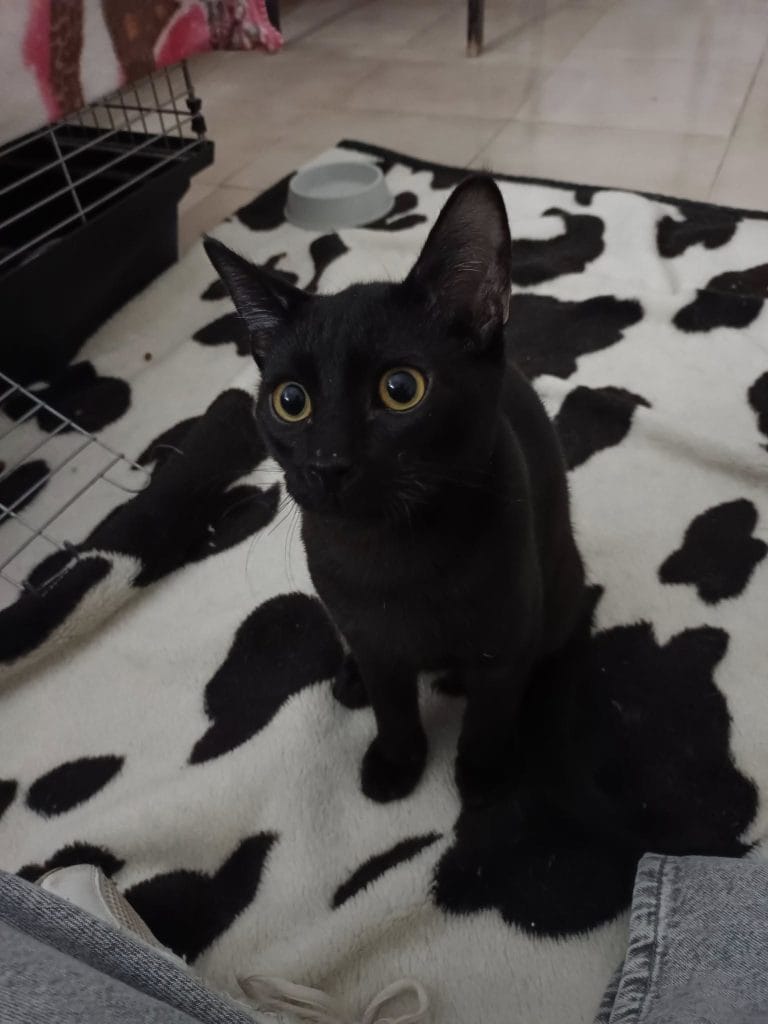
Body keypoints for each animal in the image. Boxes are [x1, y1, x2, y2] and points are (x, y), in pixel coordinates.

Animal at [204, 175, 586, 805]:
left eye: (401, 389)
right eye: (290, 400)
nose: (329, 462)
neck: (389, 552)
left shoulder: (503, 646)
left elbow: (490, 714)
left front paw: (482, 777)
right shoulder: (374, 640)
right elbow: (392, 704)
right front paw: (396, 762)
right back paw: (350, 679)